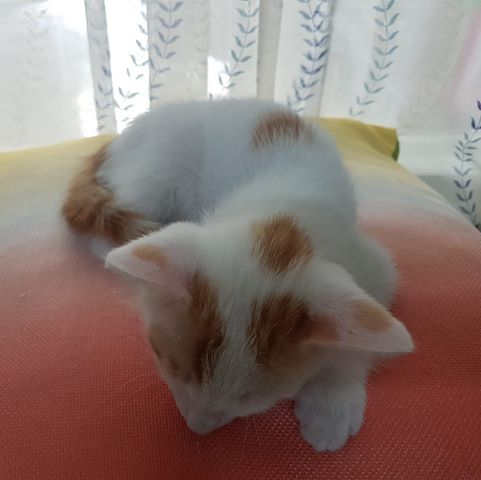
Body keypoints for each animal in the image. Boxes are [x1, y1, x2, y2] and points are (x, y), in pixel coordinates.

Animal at [62, 98, 413, 451]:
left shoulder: (373, 266)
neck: (282, 215)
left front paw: (331, 404)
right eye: (176, 369)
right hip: (156, 172)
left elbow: (362, 339)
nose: (200, 427)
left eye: (250, 400)